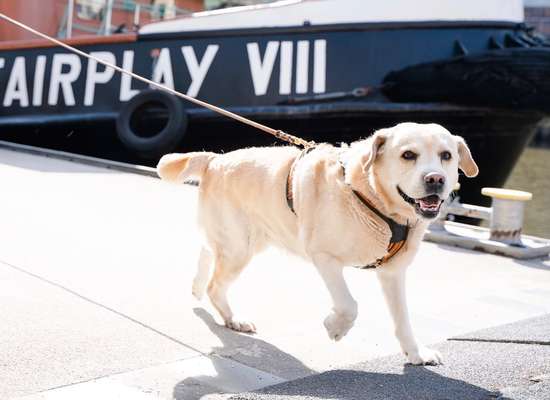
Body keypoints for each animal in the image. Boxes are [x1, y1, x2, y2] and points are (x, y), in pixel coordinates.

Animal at [158, 122, 478, 366]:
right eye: (408, 155)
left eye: (446, 155)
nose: (435, 179)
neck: (372, 198)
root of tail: (214, 159)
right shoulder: (324, 256)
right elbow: (349, 305)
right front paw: (335, 328)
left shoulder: (392, 273)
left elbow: (403, 319)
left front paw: (415, 352)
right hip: (240, 246)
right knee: (216, 282)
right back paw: (231, 317)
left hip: (244, 240)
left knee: (207, 249)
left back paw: (197, 286)